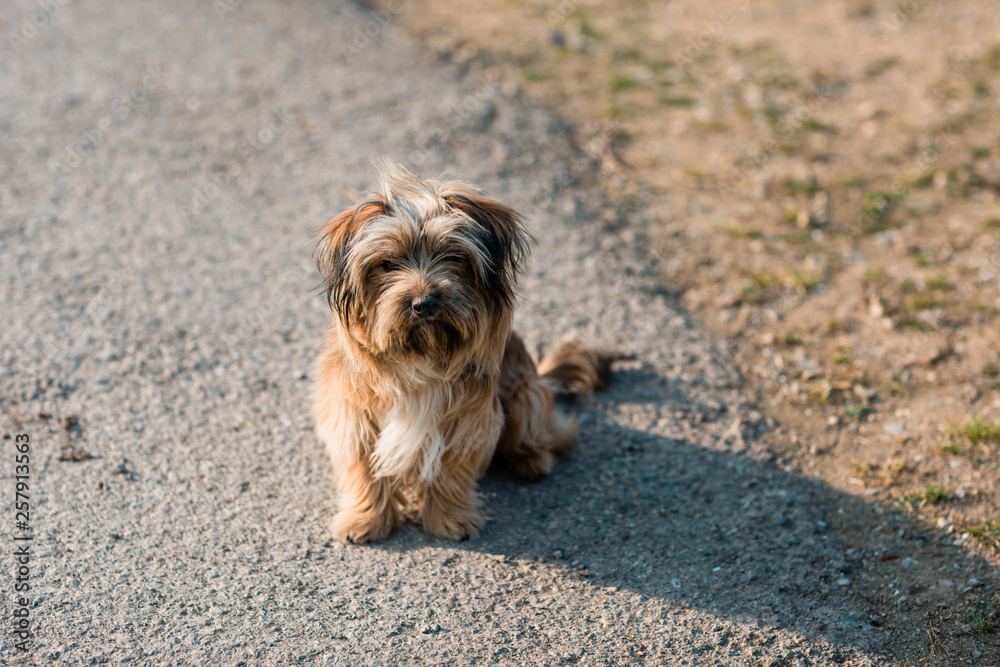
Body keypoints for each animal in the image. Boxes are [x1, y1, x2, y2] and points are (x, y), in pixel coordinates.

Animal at [314, 162, 608, 544]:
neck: (420, 357)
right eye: (388, 264)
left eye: (453, 256)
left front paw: (449, 518)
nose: (424, 303)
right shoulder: (354, 415)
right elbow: (363, 468)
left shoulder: (467, 420)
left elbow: (450, 470)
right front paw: (365, 519)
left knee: (551, 434)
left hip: (525, 395)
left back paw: (533, 460)